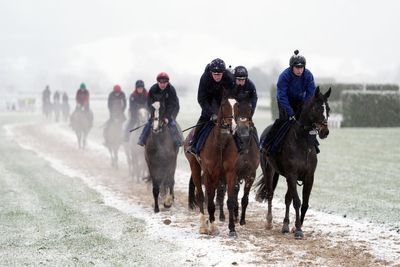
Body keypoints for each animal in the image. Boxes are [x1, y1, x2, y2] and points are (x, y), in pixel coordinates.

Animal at [183, 97, 239, 238]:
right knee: (201, 195)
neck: (221, 144)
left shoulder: (230, 173)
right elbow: (209, 201)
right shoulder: (209, 174)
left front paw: (232, 229)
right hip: (195, 168)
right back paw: (203, 226)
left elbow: (230, 201)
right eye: (224, 105)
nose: (233, 126)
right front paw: (212, 228)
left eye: (237, 105)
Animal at [256, 87, 332, 240]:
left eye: (328, 109)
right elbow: (297, 202)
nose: (325, 131)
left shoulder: (308, 177)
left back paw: (285, 225)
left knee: (287, 198)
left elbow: (304, 204)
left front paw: (295, 227)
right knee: (270, 194)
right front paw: (298, 230)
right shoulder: (292, 175)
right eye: (316, 108)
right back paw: (269, 221)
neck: (302, 143)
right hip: (269, 171)